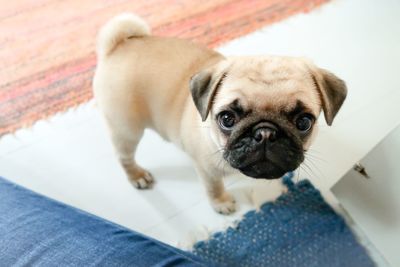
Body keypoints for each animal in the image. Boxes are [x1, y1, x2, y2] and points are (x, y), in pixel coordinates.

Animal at [94, 14, 346, 216]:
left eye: (303, 122)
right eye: (227, 119)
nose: (265, 133)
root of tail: (119, 46)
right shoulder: (207, 170)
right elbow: (214, 187)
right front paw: (221, 203)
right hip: (127, 129)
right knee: (124, 156)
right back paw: (136, 175)